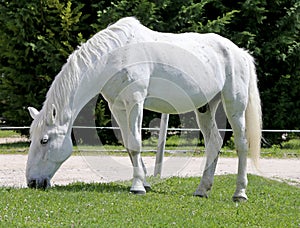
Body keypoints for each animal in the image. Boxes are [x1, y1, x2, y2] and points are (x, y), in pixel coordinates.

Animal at [26, 16, 260, 200]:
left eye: (44, 140)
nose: (32, 183)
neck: (115, 55)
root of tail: (240, 52)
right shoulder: (118, 107)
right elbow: (129, 145)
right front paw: (144, 182)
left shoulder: (135, 102)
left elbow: (136, 144)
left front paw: (137, 187)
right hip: (205, 108)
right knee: (214, 143)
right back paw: (202, 190)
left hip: (235, 105)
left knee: (242, 144)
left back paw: (240, 193)